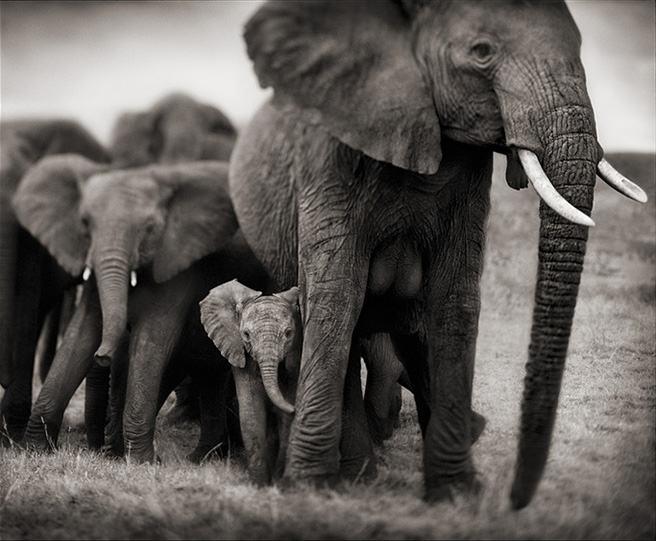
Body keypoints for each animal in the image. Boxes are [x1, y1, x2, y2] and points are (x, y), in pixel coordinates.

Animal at [12, 155, 258, 460]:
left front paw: (142, 462)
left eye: (150, 229)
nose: (103, 356)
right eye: (84, 223)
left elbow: (151, 340)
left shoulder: (178, 264)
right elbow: (81, 333)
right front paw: (33, 450)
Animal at [228, 0, 648, 508]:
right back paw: (357, 475)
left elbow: (453, 301)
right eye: (481, 52)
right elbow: (335, 298)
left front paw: (455, 493)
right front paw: (308, 488)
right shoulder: (328, 162)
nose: (516, 501)